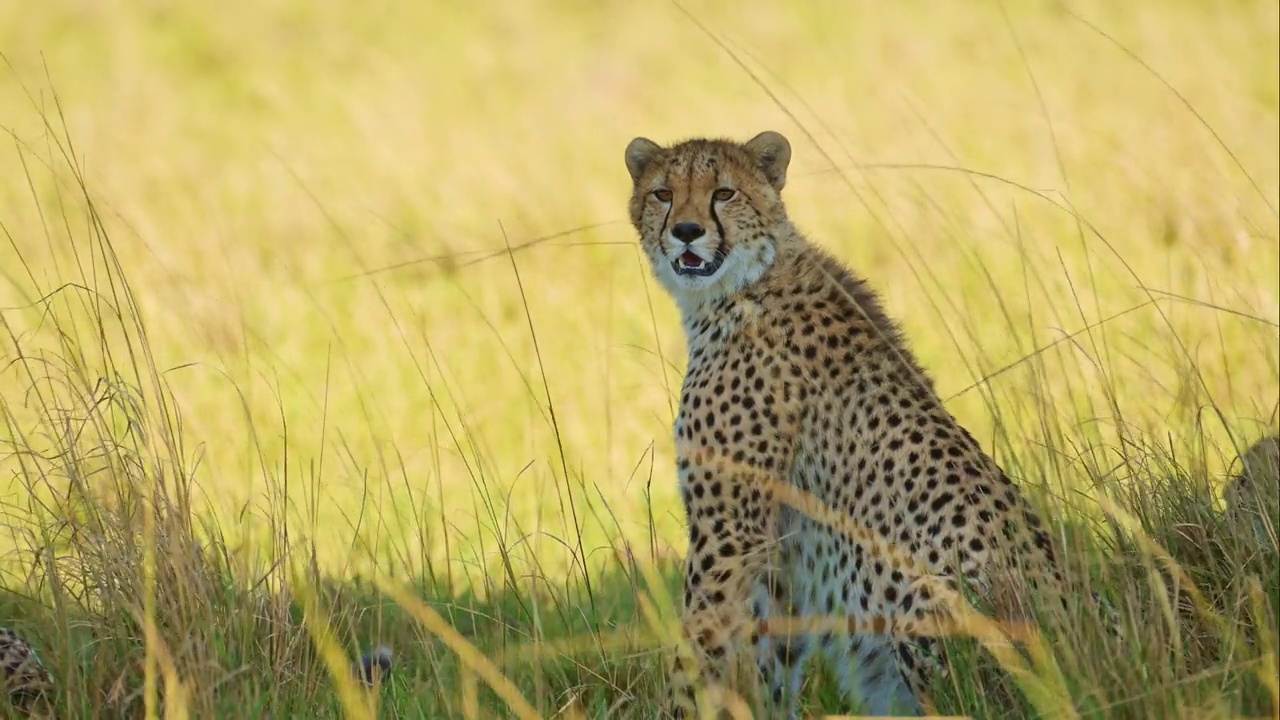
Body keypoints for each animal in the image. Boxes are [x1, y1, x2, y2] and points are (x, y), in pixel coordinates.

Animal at [624, 131, 1085, 712]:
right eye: (662, 194)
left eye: (724, 192)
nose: (687, 230)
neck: (743, 285)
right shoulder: (781, 550)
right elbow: (771, 658)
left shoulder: (729, 532)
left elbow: (697, 646)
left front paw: (678, 709)